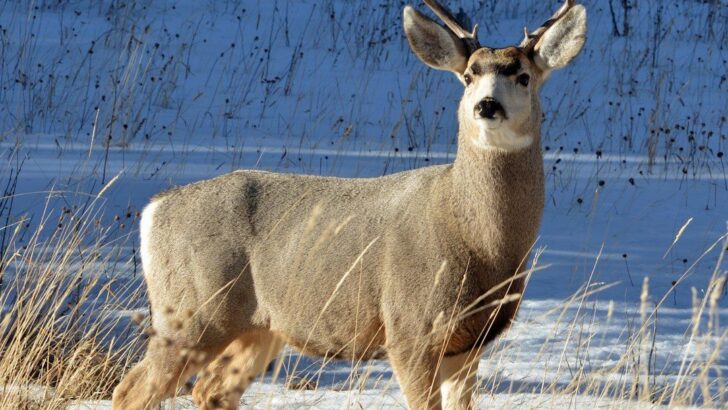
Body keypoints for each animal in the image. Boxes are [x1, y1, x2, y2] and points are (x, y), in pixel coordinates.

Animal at [112, 1, 586, 409]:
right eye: (469, 75)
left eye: (522, 76)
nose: (487, 105)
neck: (479, 244)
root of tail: (154, 210)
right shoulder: (408, 328)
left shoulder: (469, 343)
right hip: (191, 312)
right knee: (131, 390)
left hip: (259, 327)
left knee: (210, 390)